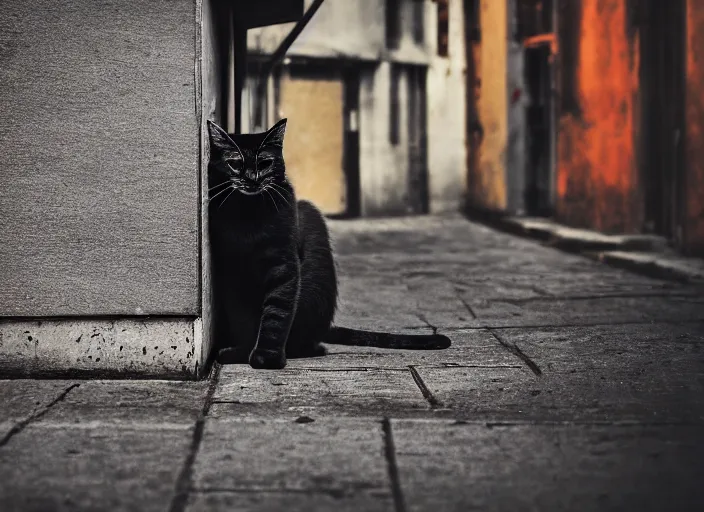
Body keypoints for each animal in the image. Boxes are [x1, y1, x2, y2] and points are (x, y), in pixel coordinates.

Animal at [208, 118, 452, 370]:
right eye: (234, 164)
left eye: (265, 162)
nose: (251, 178)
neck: (250, 214)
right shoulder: (232, 272)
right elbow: (243, 319)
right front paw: (244, 352)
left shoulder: (284, 265)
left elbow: (277, 312)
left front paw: (267, 357)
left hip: (311, 223)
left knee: (309, 341)